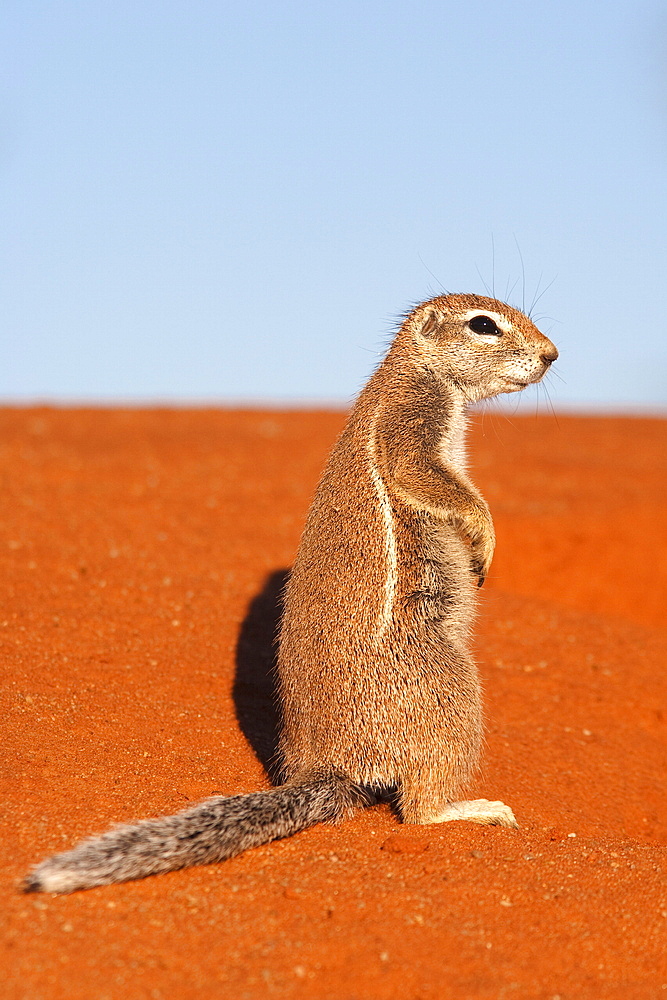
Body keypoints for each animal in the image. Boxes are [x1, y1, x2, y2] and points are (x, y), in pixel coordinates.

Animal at [23, 292, 560, 896]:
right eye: (484, 325)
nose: (552, 355)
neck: (413, 368)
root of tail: (331, 766)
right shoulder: (411, 429)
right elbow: (437, 484)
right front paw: (485, 539)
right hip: (452, 691)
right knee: (418, 809)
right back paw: (472, 809)